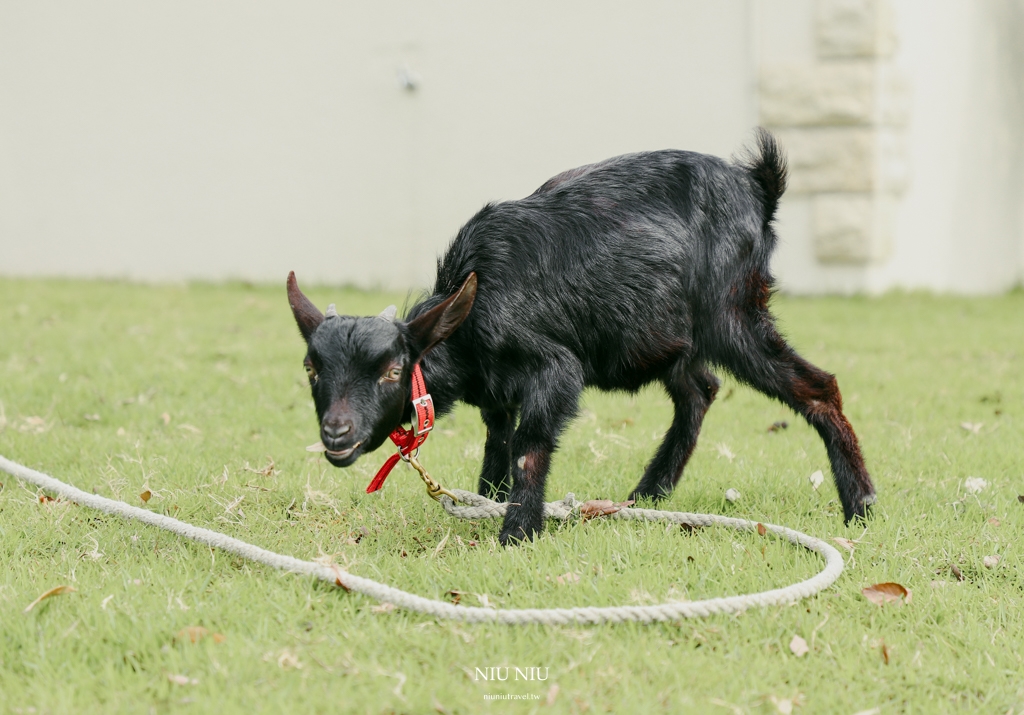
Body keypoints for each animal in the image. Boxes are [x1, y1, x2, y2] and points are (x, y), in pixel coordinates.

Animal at [286, 129, 872, 540]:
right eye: (311, 367)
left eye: (392, 370)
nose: (336, 433)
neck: (473, 304)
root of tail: (758, 187)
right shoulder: (496, 393)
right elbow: (498, 444)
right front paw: (486, 503)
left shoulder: (554, 370)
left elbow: (529, 444)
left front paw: (516, 532)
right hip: (667, 338)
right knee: (699, 390)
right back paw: (647, 494)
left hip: (733, 314)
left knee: (817, 386)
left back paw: (860, 506)